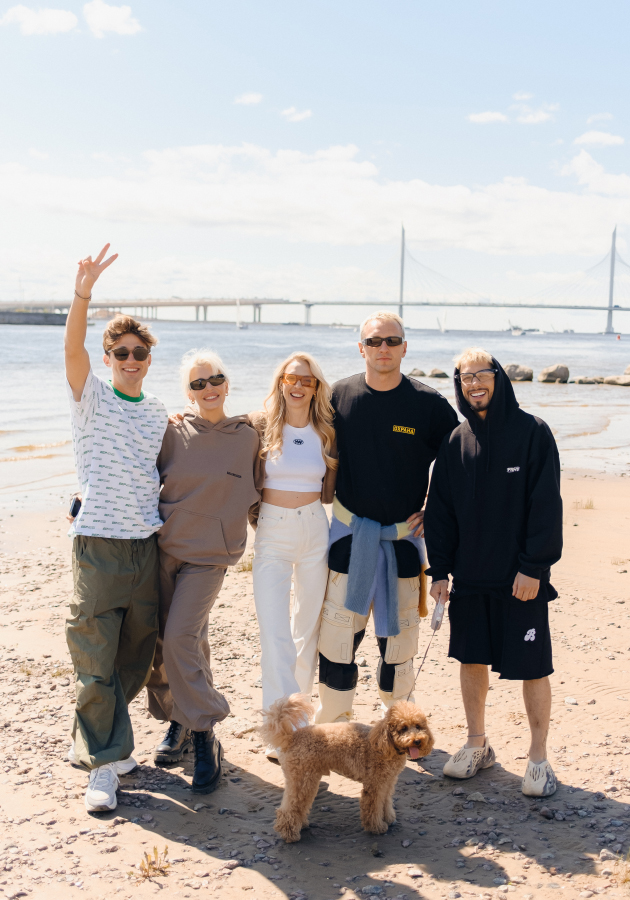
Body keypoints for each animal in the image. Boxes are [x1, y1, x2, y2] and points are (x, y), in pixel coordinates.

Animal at [260, 696, 434, 844]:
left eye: (419, 726)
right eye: (403, 728)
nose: (417, 741)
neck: (384, 745)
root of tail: (291, 738)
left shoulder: (388, 781)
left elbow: (386, 802)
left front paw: (389, 818)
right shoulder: (375, 784)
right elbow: (373, 807)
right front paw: (377, 827)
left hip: (304, 778)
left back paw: (300, 825)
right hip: (303, 779)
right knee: (289, 808)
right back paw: (290, 834)